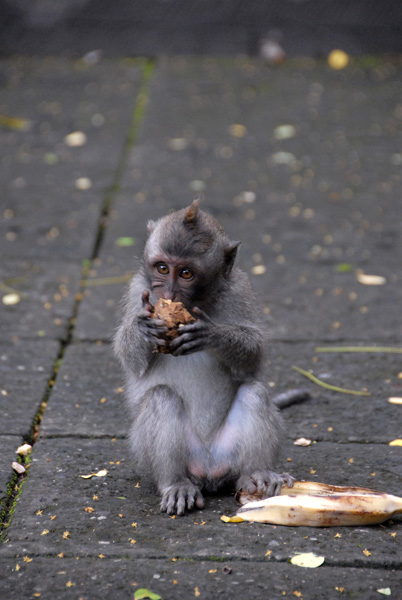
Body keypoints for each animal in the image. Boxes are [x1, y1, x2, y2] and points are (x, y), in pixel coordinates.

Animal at [114, 200, 300, 516]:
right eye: (162, 268)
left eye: (186, 273)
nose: (168, 292)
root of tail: (210, 471)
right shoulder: (136, 288)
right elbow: (132, 361)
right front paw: (142, 329)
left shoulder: (239, 288)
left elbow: (253, 355)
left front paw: (212, 335)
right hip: (162, 456)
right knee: (161, 398)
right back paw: (175, 483)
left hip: (228, 454)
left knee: (254, 393)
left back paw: (257, 474)